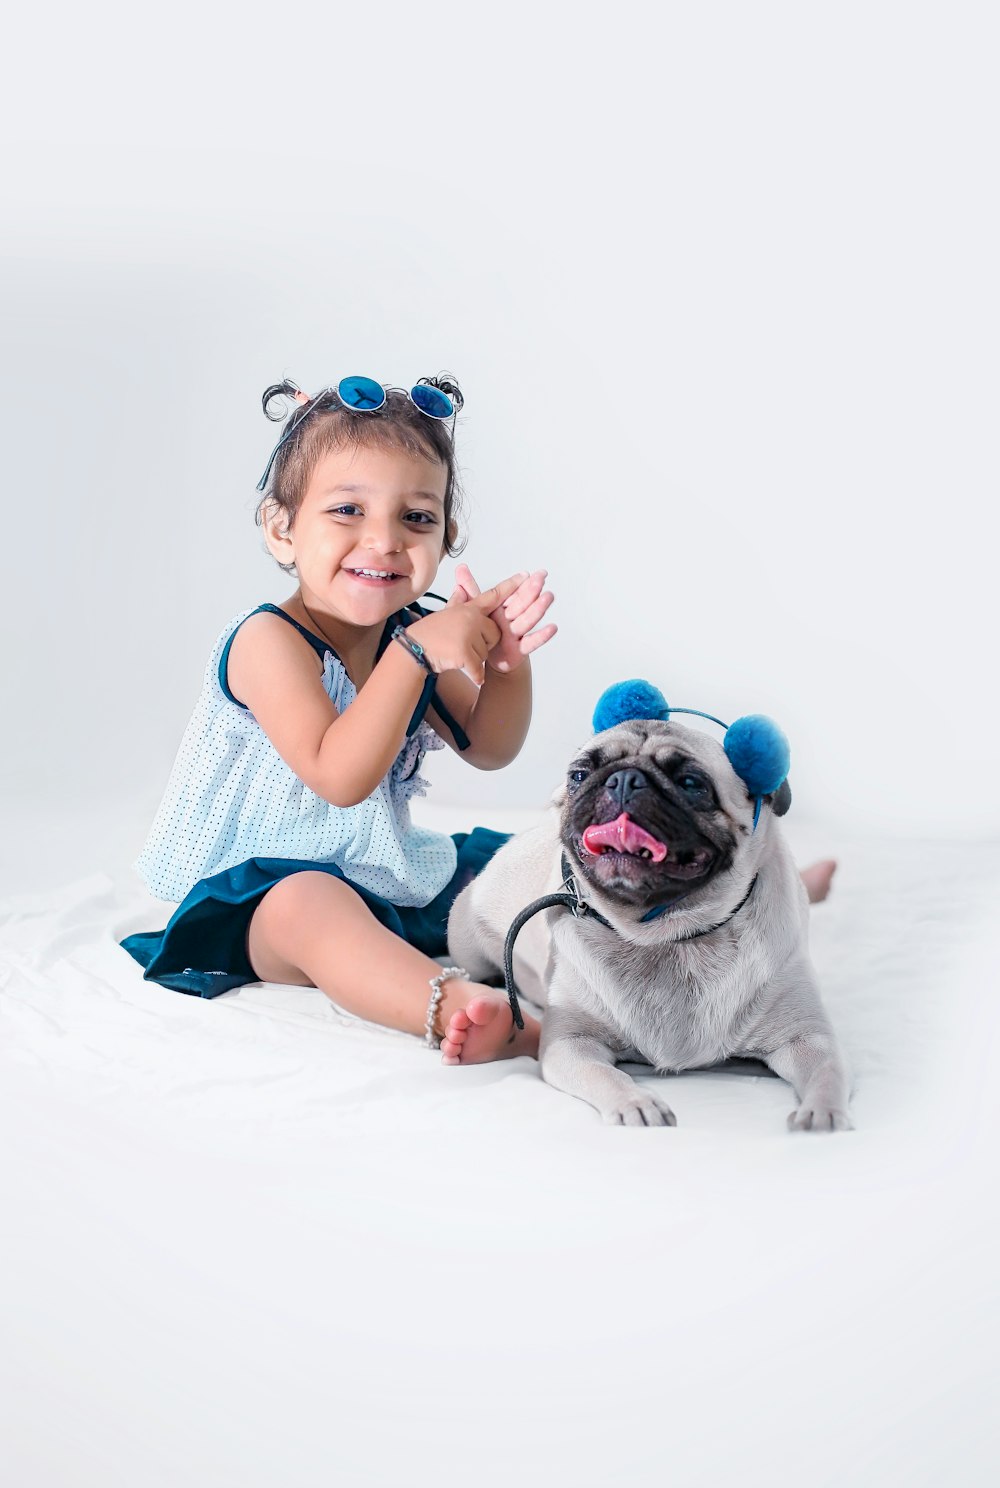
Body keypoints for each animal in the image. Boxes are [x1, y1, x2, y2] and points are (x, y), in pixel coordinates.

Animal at [449, 717, 857, 1124]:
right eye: (580, 775)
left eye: (691, 784)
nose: (624, 779)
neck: (669, 936)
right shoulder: (570, 1043)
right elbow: (606, 1075)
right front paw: (637, 1103)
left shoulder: (806, 1038)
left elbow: (828, 1073)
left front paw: (822, 1114)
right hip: (465, 942)